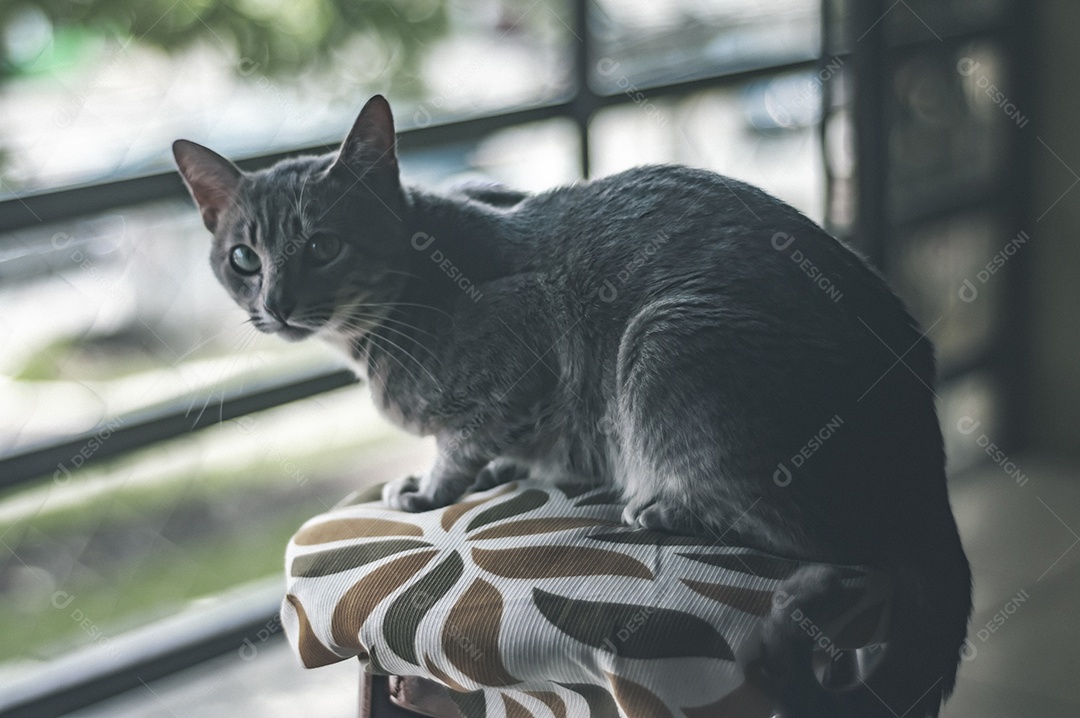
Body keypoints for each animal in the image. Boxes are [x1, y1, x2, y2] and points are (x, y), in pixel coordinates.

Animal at [174, 96, 972, 716]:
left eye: (323, 246)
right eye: (243, 258)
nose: (275, 305)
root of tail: (927, 467)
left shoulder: (527, 332)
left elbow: (462, 437)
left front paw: (431, 487)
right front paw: (496, 468)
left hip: (668, 341)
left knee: (827, 538)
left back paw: (662, 507)